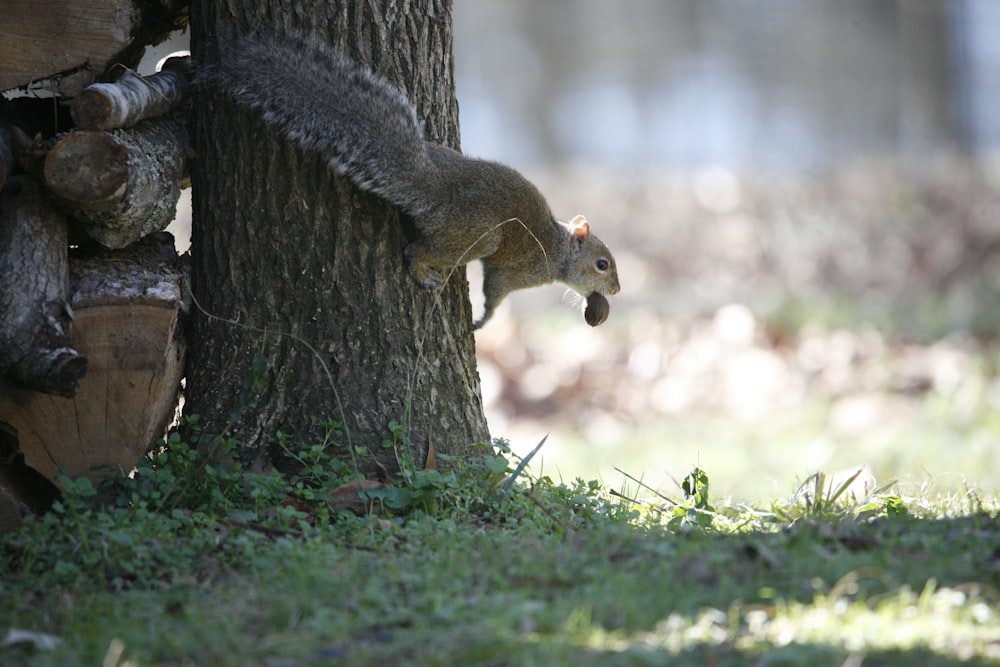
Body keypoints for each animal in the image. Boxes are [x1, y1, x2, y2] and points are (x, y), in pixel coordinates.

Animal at [193, 31, 616, 328]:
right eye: (602, 264)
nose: (616, 289)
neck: (559, 248)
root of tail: (433, 189)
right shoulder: (517, 272)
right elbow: (495, 292)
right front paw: (484, 321)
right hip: (476, 236)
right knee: (417, 250)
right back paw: (422, 270)